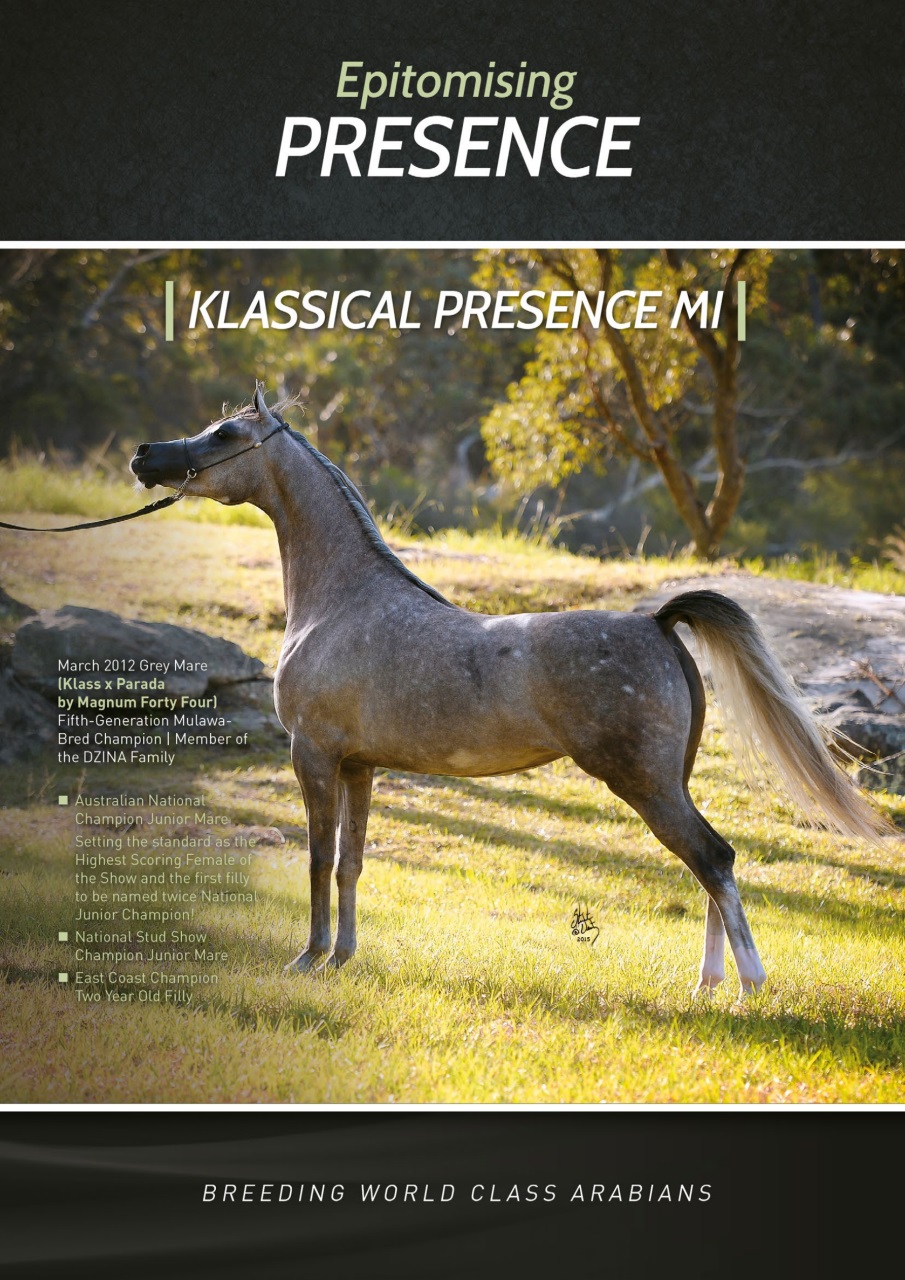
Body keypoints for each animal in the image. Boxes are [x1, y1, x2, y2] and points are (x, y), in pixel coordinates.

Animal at [131, 387, 885, 996]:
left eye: (226, 434)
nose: (144, 456)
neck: (342, 602)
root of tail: (656, 622)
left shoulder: (312, 755)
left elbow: (317, 861)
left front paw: (308, 958)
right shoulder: (358, 766)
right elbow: (350, 864)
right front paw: (342, 957)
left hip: (643, 783)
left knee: (713, 859)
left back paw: (747, 984)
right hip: (672, 781)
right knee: (707, 867)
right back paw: (707, 982)